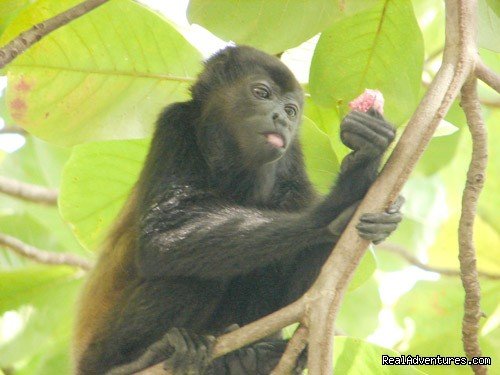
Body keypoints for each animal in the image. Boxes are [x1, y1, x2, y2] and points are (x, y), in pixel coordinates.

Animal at [73, 45, 402, 374]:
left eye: (292, 111)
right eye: (262, 93)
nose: (282, 119)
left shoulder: (289, 160)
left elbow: (301, 294)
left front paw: (367, 156)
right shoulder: (174, 126)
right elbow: (161, 237)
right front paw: (337, 203)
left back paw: (251, 358)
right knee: (189, 280)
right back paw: (138, 360)